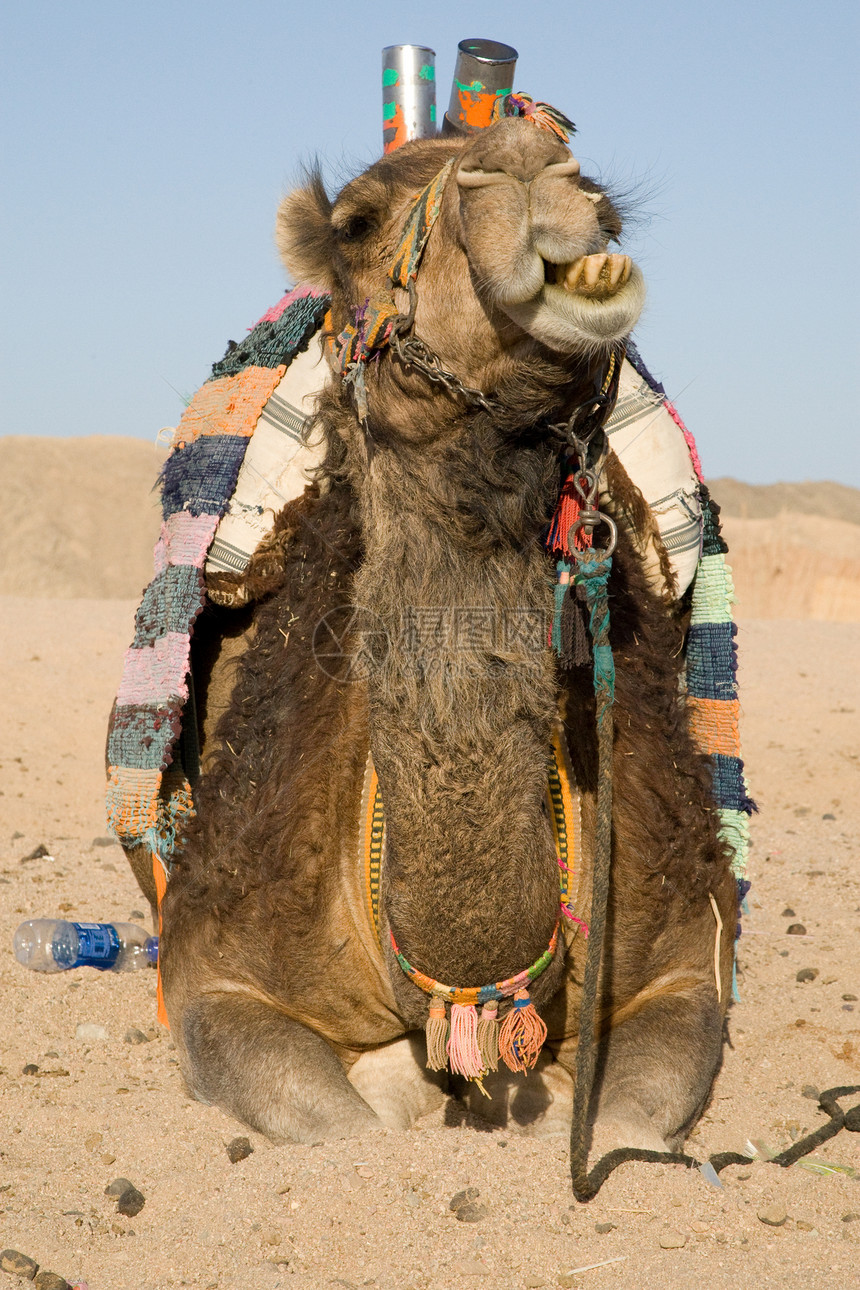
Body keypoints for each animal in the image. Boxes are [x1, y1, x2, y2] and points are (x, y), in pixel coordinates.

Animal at [144, 118, 737, 1150]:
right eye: (354, 223)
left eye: (594, 184)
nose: (532, 162)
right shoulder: (212, 969)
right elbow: (343, 1131)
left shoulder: (684, 958)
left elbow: (624, 1127)